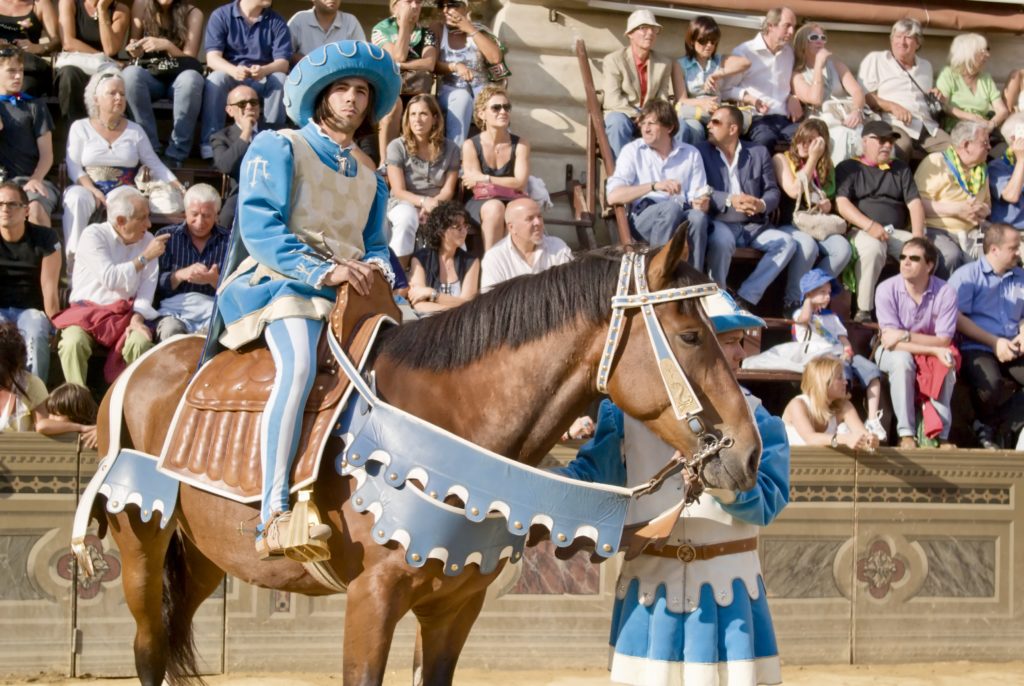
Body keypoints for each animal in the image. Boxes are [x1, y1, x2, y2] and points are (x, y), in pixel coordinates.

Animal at [94, 231, 761, 686]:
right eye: (691, 336)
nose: (749, 452)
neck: (453, 420)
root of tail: (141, 369)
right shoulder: (373, 598)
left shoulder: (454, 606)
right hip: (140, 545)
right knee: (148, 649)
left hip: (205, 556)